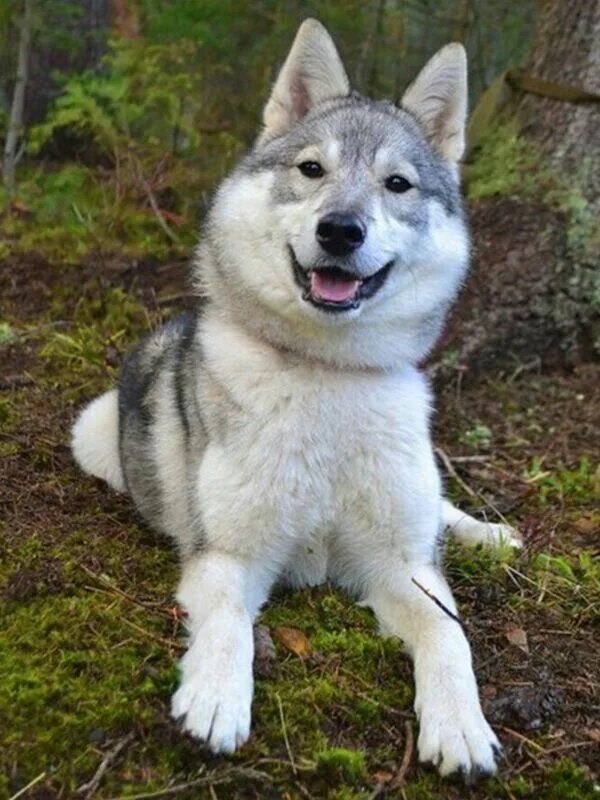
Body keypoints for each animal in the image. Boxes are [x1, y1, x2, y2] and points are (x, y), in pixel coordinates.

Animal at [71, 20, 520, 780]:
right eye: (312, 169)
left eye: (397, 183)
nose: (341, 229)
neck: (327, 374)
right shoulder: (229, 555)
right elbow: (228, 624)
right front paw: (216, 697)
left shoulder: (404, 567)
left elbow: (449, 634)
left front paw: (461, 723)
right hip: (92, 433)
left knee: (442, 512)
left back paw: (486, 532)